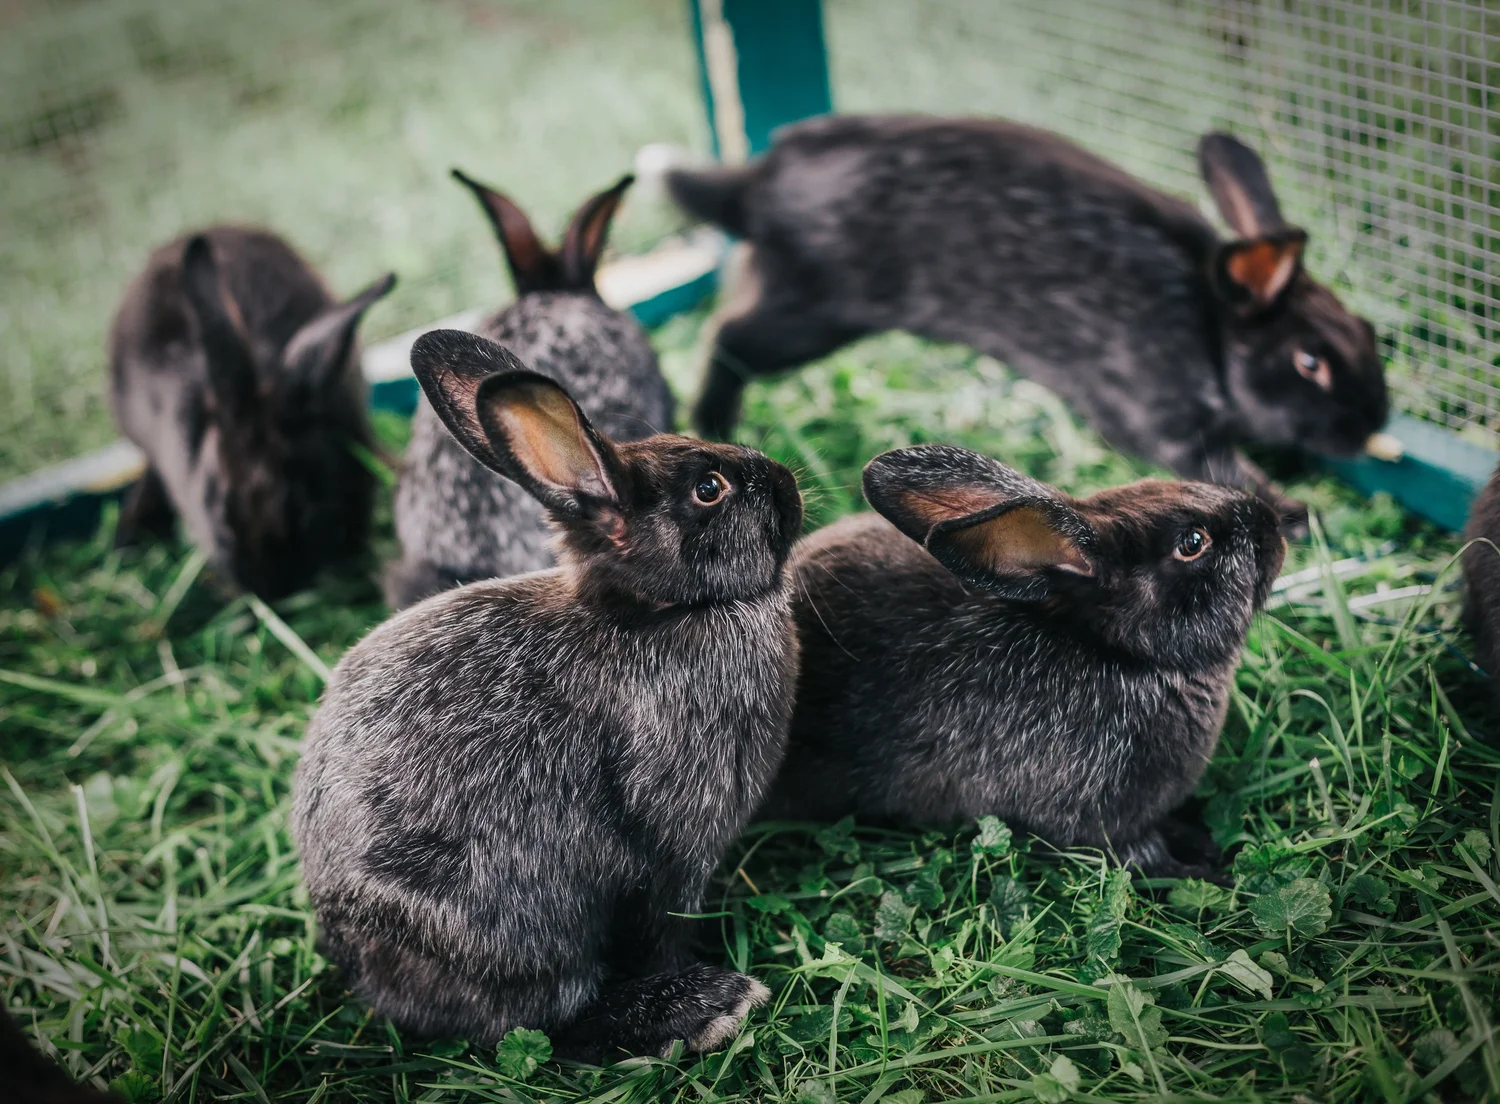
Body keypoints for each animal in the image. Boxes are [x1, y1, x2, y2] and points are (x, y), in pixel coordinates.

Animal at [294, 329, 803, 1059]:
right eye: (710, 488)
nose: (789, 484)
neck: (661, 611)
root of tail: (353, 957)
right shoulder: (677, 842)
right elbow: (660, 926)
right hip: (514, 928)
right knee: (551, 1020)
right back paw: (706, 1007)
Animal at [667, 115, 1389, 524]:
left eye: (1368, 333)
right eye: (1310, 361)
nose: (1370, 429)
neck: (1212, 334)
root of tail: (757, 186)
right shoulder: (1162, 417)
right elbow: (1220, 468)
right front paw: (1296, 512)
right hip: (812, 312)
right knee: (727, 338)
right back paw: (713, 425)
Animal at [762, 444, 1286, 879]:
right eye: (1193, 543)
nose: (1272, 524)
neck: (1126, 654)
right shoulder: (1098, 822)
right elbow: (1140, 855)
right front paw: (1205, 871)